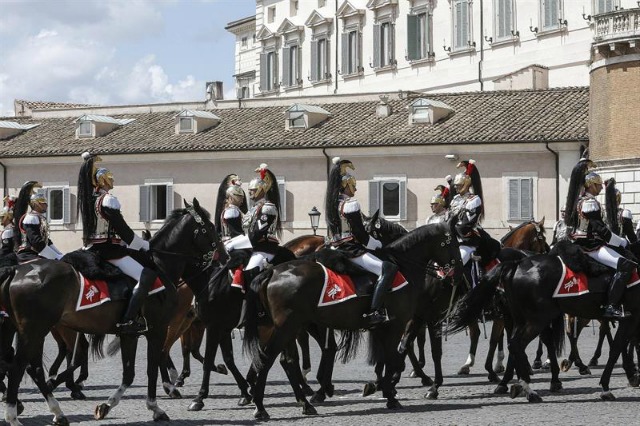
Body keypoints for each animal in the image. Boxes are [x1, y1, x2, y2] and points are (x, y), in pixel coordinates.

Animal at [0, 200, 221, 426]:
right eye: (210, 227)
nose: (221, 255)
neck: (160, 266)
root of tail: (16, 270)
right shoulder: (156, 330)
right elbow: (151, 368)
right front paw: (156, 408)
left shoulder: (130, 334)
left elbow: (129, 373)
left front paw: (106, 406)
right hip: (36, 330)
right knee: (19, 367)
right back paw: (14, 416)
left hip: (32, 331)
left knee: (31, 368)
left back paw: (57, 412)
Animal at [242, 223, 462, 420]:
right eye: (451, 243)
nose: (458, 273)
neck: (403, 268)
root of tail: (273, 271)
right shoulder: (396, 324)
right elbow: (394, 358)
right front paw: (390, 395)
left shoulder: (385, 327)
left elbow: (387, 358)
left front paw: (379, 387)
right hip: (287, 327)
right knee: (269, 359)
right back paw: (261, 407)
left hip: (281, 328)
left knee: (283, 360)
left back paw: (303, 403)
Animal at [448, 243, 640, 402]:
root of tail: (517, 264)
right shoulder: (630, 318)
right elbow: (618, 347)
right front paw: (609, 386)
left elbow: (621, 345)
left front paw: (631, 375)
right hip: (537, 319)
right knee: (518, 344)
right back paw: (530, 388)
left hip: (526, 319)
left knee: (519, 344)